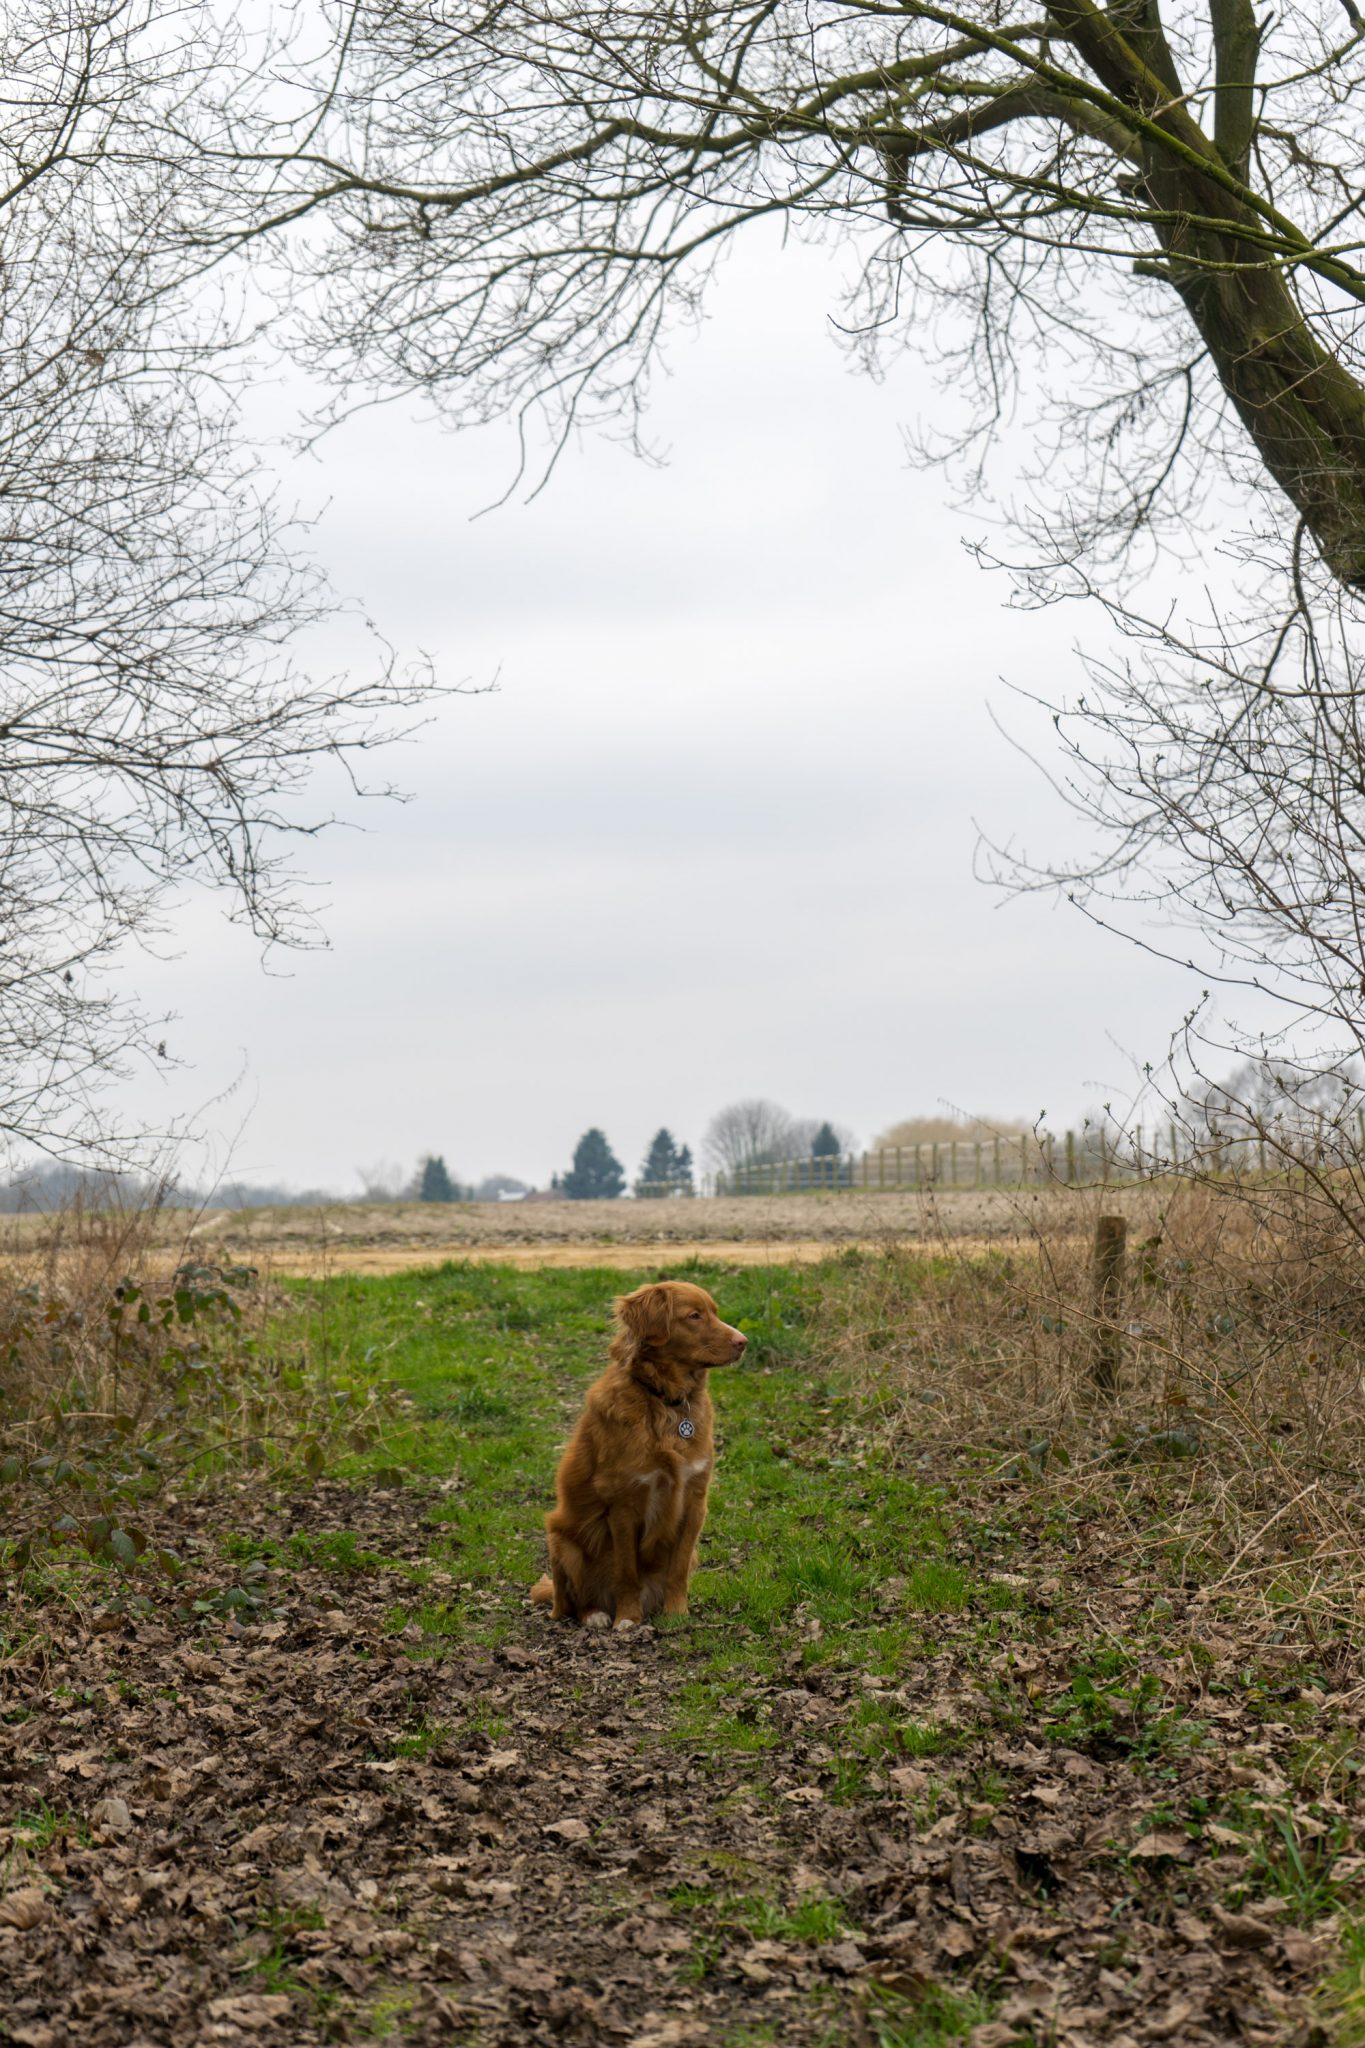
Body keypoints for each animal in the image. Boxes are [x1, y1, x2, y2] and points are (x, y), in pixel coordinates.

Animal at [529, 1280, 747, 1630]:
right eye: (694, 1316)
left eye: (714, 1312)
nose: (744, 1342)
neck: (664, 1401)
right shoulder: (623, 1504)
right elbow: (627, 1571)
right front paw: (627, 1618)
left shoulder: (694, 1499)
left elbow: (677, 1570)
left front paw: (677, 1614)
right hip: (563, 1541)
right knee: (572, 1602)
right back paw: (596, 1614)